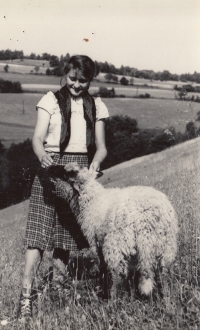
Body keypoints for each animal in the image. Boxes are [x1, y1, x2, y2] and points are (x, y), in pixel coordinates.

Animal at [49, 163, 178, 300]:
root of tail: (146, 220)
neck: (91, 200)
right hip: (166, 245)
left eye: (66, 173)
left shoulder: (96, 242)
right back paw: (167, 296)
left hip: (116, 243)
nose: (50, 167)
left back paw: (112, 298)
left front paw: (103, 283)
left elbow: (102, 265)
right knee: (164, 272)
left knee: (117, 273)